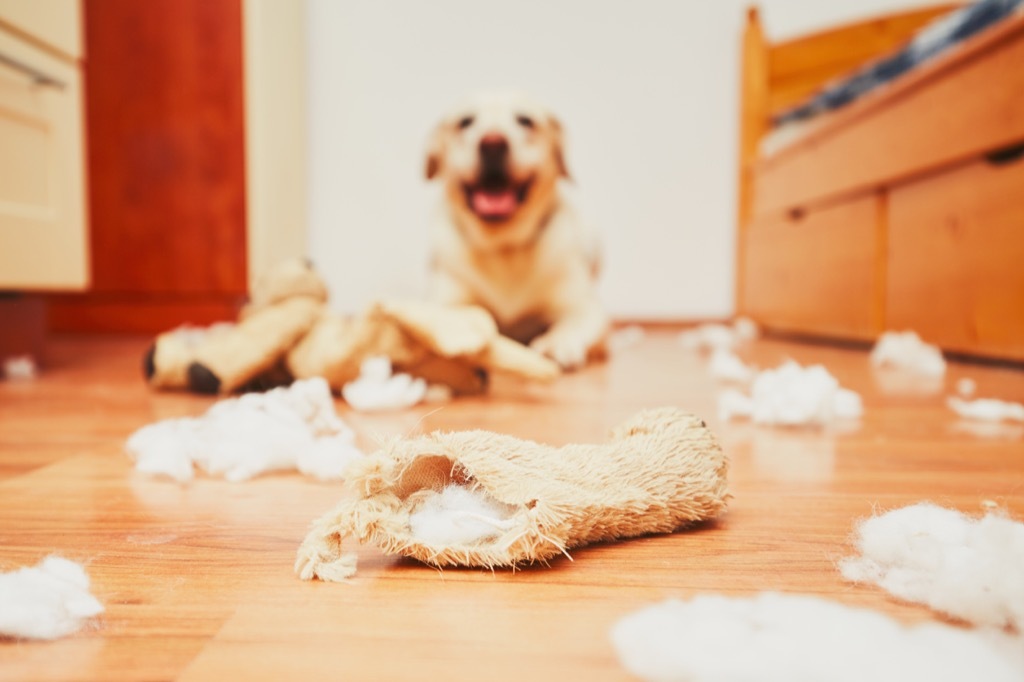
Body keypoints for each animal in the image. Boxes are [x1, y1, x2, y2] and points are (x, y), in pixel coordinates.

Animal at [423, 91, 606, 368]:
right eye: (465, 122)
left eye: (525, 120)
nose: (492, 144)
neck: (504, 248)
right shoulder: (448, 300)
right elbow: (451, 315)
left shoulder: (584, 307)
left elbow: (572, 324)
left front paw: (557, 343)